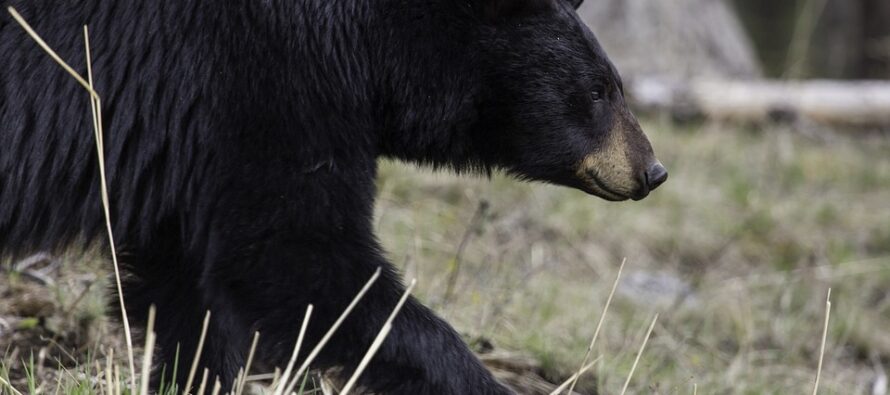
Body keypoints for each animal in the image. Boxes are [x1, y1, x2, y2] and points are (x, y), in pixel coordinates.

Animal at [1, 0, 664, 394]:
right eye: (600, 90)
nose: (653, 170)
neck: (369, 44)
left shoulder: (191, 150)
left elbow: (186, 286)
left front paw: (190, 376)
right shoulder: (265, 87)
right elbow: (298, 260)